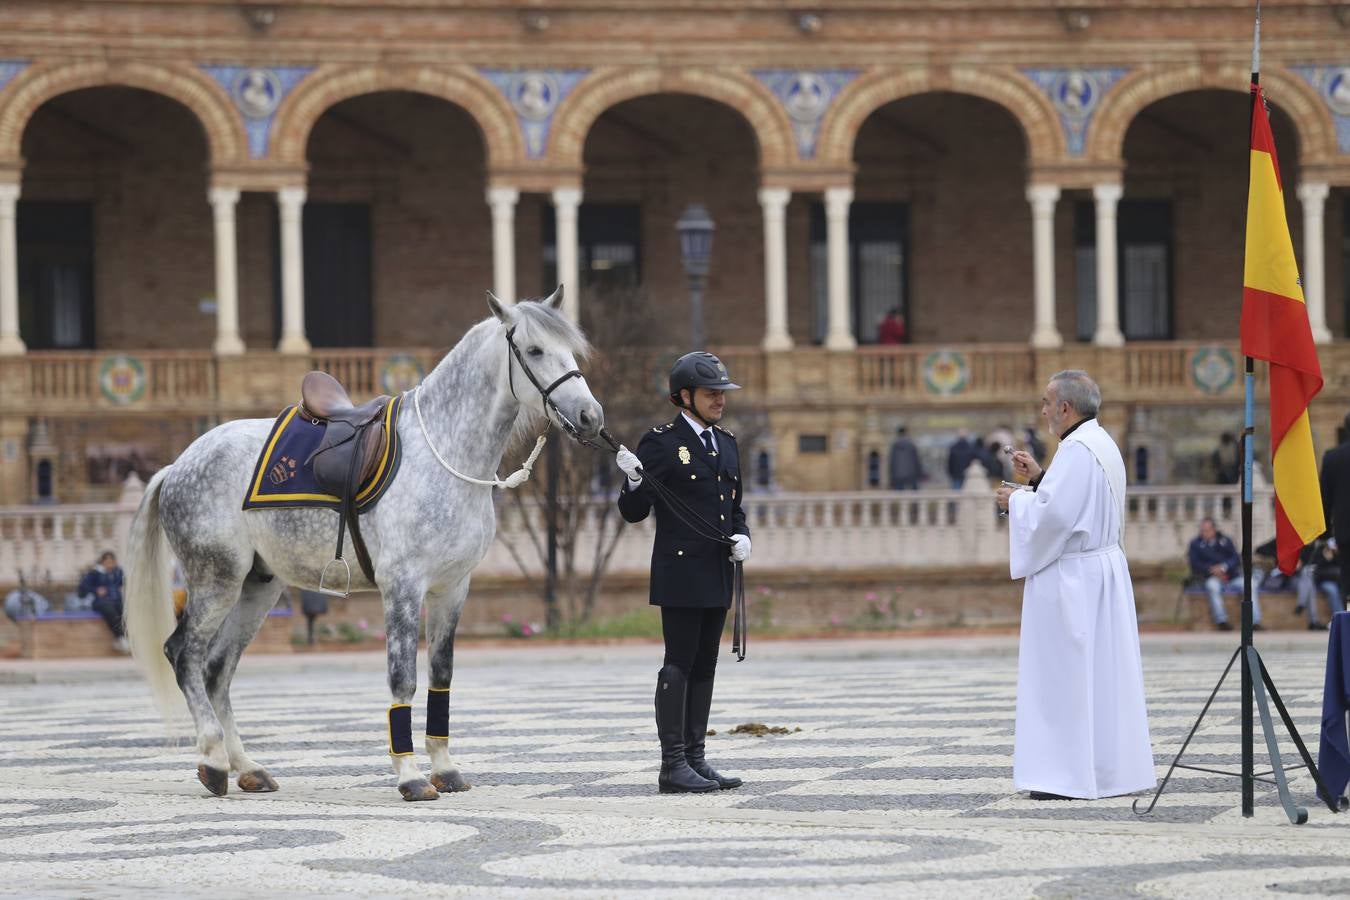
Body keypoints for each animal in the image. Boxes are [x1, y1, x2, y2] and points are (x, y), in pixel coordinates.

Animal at [125, 290, 602, 804]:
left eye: (570, 348)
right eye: (534, 350)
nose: (591, 417)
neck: (443, 453)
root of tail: (179, 463)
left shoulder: (452, 589)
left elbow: (441, 675)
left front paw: (445, 769)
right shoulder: (403, 588)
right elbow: (403, 678)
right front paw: (410, 776)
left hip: (257, 588)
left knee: (216, 669)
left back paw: (247, 768)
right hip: (217, 581)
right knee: (184, 655)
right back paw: (213, 761)